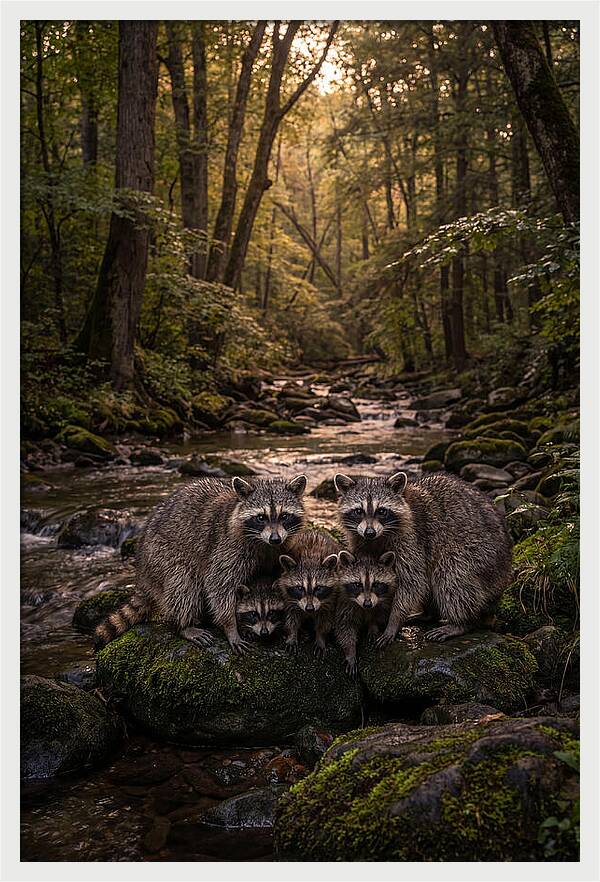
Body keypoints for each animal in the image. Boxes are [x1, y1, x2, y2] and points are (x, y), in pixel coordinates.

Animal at [95, 474, 307, 653]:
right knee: (183, 584)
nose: (275, 538)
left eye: (284, 516)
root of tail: (141, 572)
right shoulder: (227, 547)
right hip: (160, 556)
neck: (264, 543)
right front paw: (231, 626)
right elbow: (219, 586)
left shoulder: (280, 549)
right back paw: (184, 625)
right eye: (261, 517)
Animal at [334, 470, 512, 645]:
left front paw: (394, 620)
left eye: (382, 511)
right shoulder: (359, 539)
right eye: (358, 511)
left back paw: (460, 622)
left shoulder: (412, 538)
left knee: (451, 576)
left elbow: (412, 581)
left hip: (480, 555)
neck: (378, 537)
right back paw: (429, 614)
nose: (369, 532)